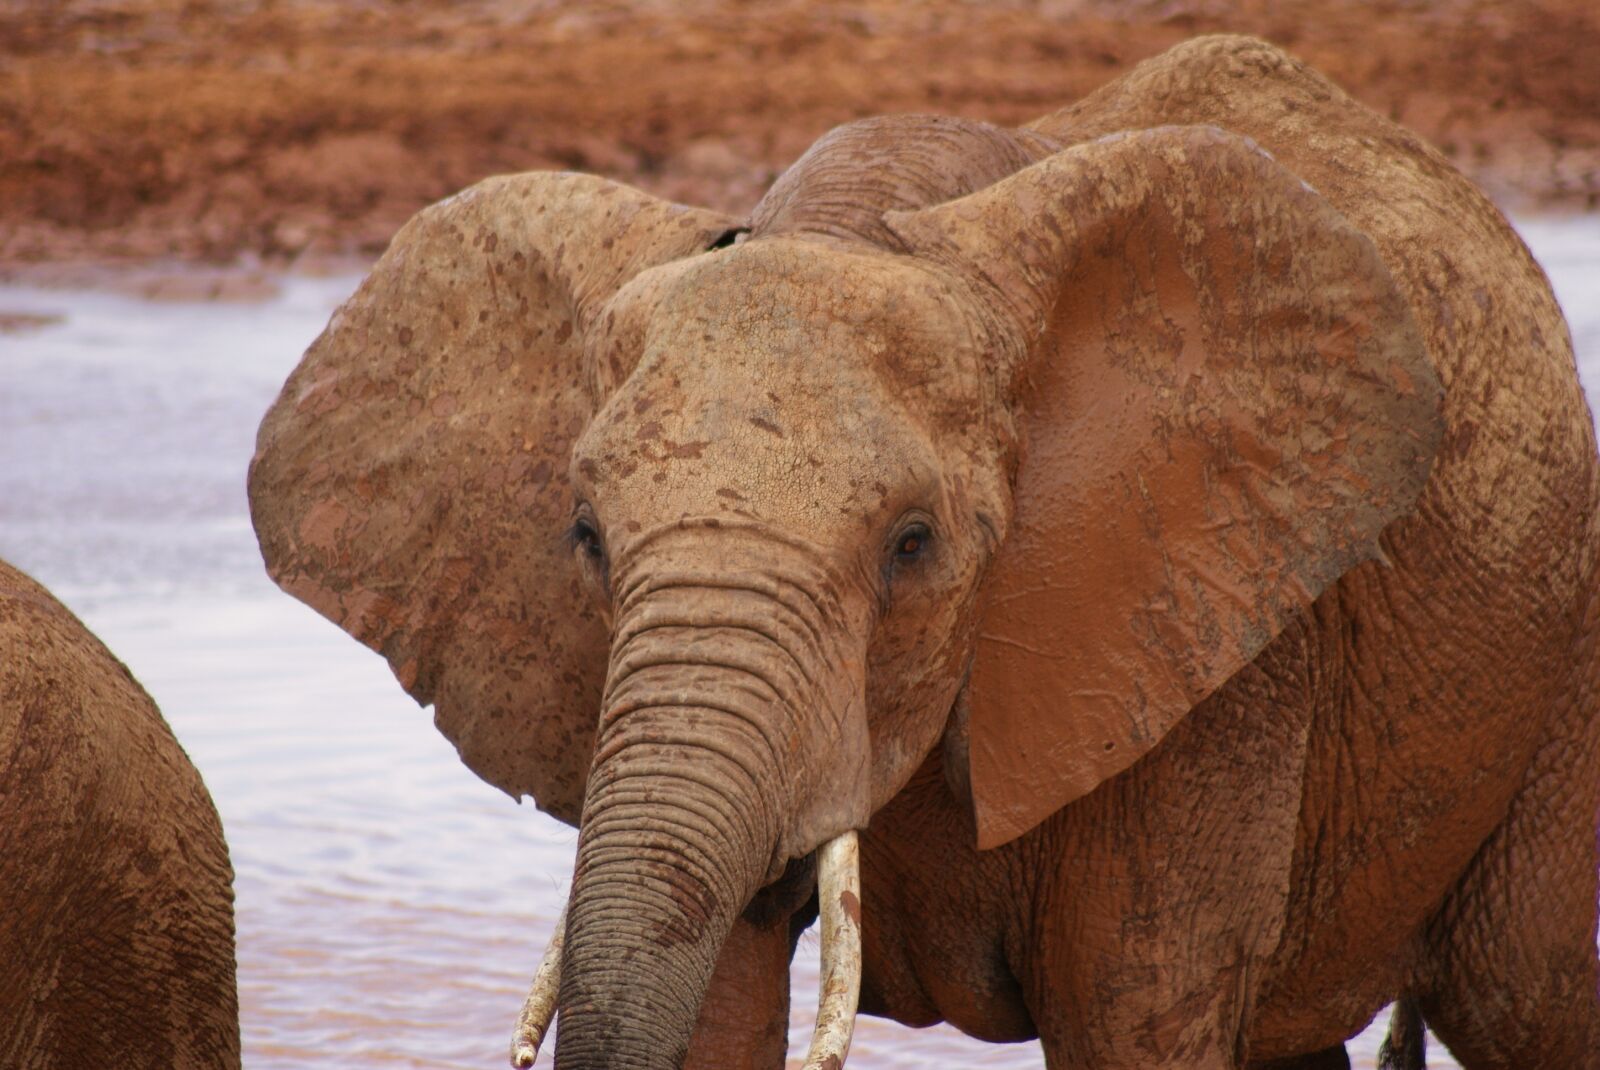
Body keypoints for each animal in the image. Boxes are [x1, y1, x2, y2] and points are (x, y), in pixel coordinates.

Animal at [248, 33, 1600, 1070]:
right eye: (586, 535)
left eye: (912, 543)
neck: (873, 225)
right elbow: (718, 998)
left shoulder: (1214, 651)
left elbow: (1136, 1020)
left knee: (1521, 995)